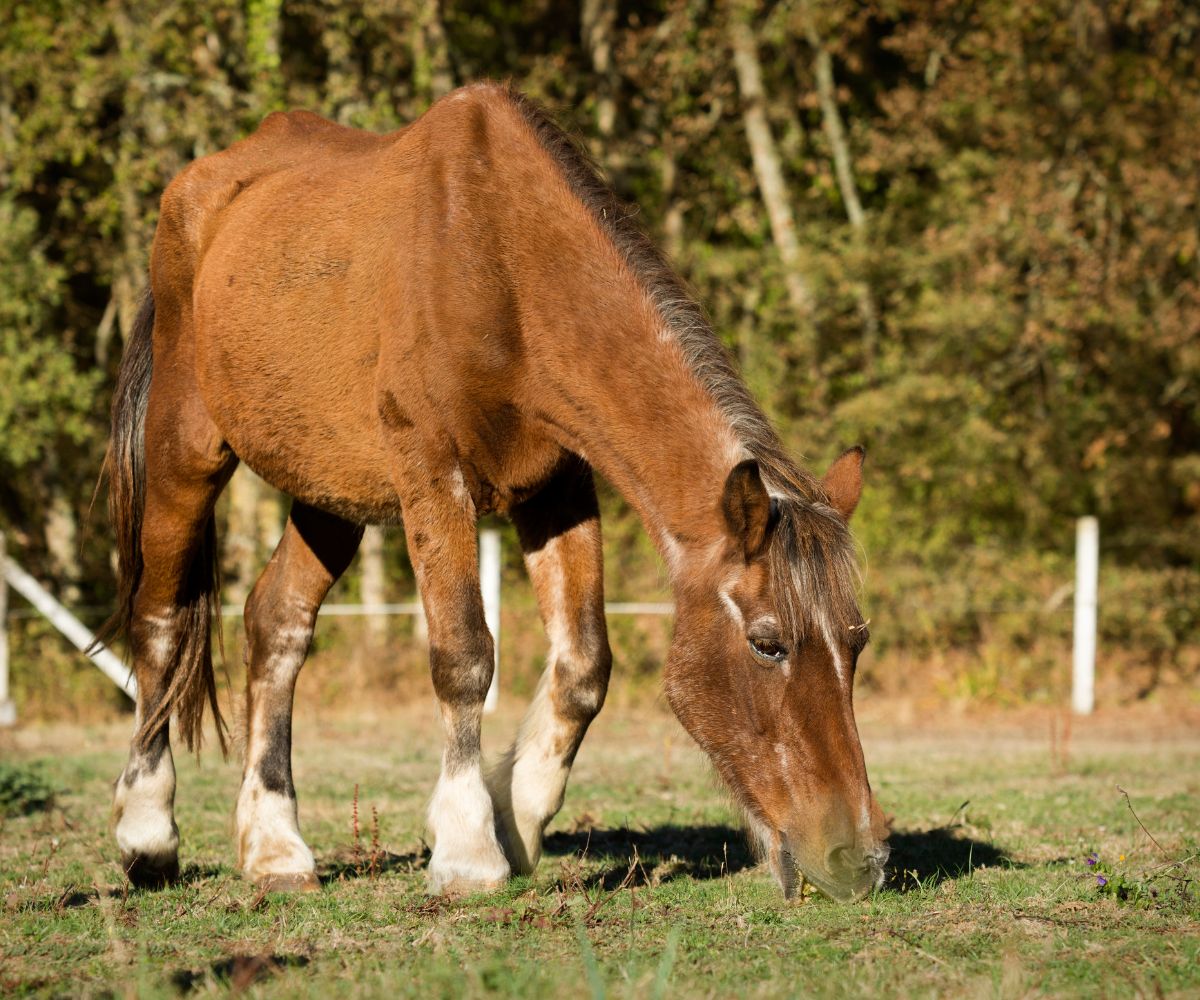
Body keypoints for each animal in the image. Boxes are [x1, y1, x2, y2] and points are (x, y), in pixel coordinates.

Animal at [100, 81, 892, 902]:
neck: (502, 262)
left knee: (277, 625)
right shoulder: (432, 475)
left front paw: (515, 819)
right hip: (186, 449)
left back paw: (275, 847)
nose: (859, 858)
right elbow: (464, 656)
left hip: (329, 492)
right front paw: (467, 849)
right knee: (160, 621)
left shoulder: (557, 488)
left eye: (857, 641)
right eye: (768, 643)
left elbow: (584, 664)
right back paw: (147, 833)